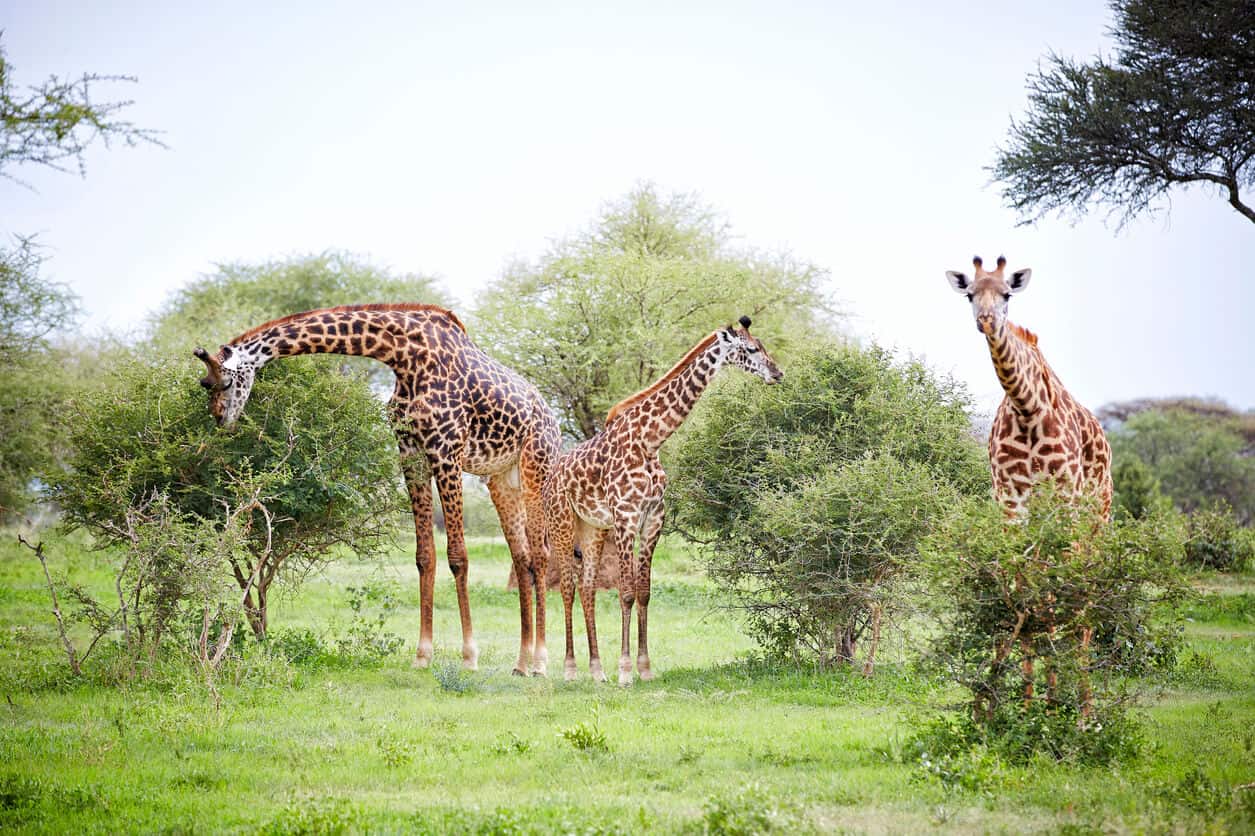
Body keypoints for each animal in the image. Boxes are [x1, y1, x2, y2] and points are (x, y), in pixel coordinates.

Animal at [195, 303, 561, 675]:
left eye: (225, 381)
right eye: (204, 383)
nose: (220, 419)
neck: (405, 357)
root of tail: (552, 418)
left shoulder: (446, 450)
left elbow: (458, 556)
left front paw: (469, 656)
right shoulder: (411, 452)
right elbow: (424, 556)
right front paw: (422, 655)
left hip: (536, 468)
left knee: (541, 556)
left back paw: (541, 663)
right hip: (501, 479)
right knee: (522, 557)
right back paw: (521, 663)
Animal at [544, 316, 783, 685]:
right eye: (752, 348)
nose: (778, 373)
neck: (650, 440)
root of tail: (553, 472)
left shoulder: (653, 518)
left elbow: (644, 592)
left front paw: (645, 667)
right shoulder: (626, 517)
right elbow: (627, 593)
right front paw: (626, 671)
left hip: (593, 527)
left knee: (587, 588)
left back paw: (596, 670)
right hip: (562, 522)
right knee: (568, 587)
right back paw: (571, 669)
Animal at [945, 256, 1112, 519]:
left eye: (1007, 294)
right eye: (970, 295)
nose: (986, 320)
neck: (1027, 408)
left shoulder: (1068, 491)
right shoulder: (1009, 494)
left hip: (1099, 501)